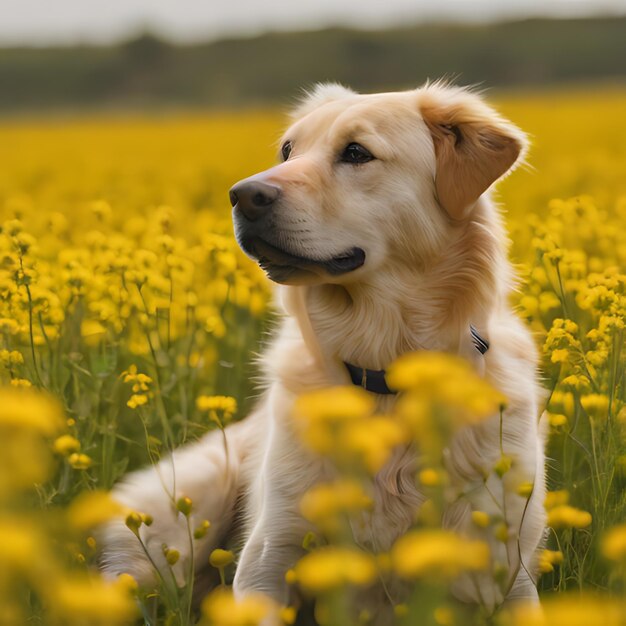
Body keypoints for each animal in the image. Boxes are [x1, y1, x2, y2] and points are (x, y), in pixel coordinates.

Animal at [100, 81, 544, 620]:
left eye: (356, 153)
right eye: (288, 151)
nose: (243, 195)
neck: (385, 376)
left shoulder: (507, 571)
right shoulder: (268, 557)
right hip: (181, 521)